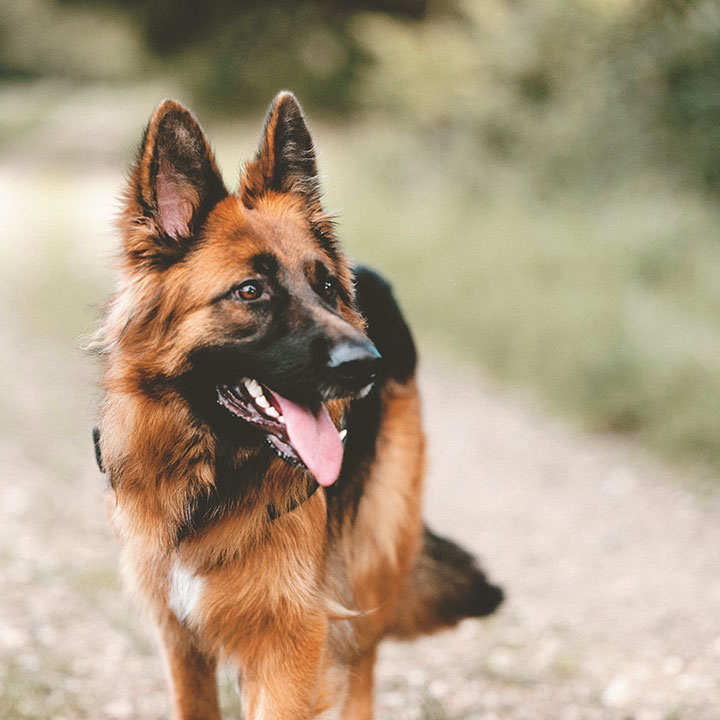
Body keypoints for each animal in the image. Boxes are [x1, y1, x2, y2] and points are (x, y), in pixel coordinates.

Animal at [94, 91, 500, 720]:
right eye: (250, 291)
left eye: (327, 287)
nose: (367, 365)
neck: (213, 482)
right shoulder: (180, 640)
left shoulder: (289, 642)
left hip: (368, 564)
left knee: (361, 669)